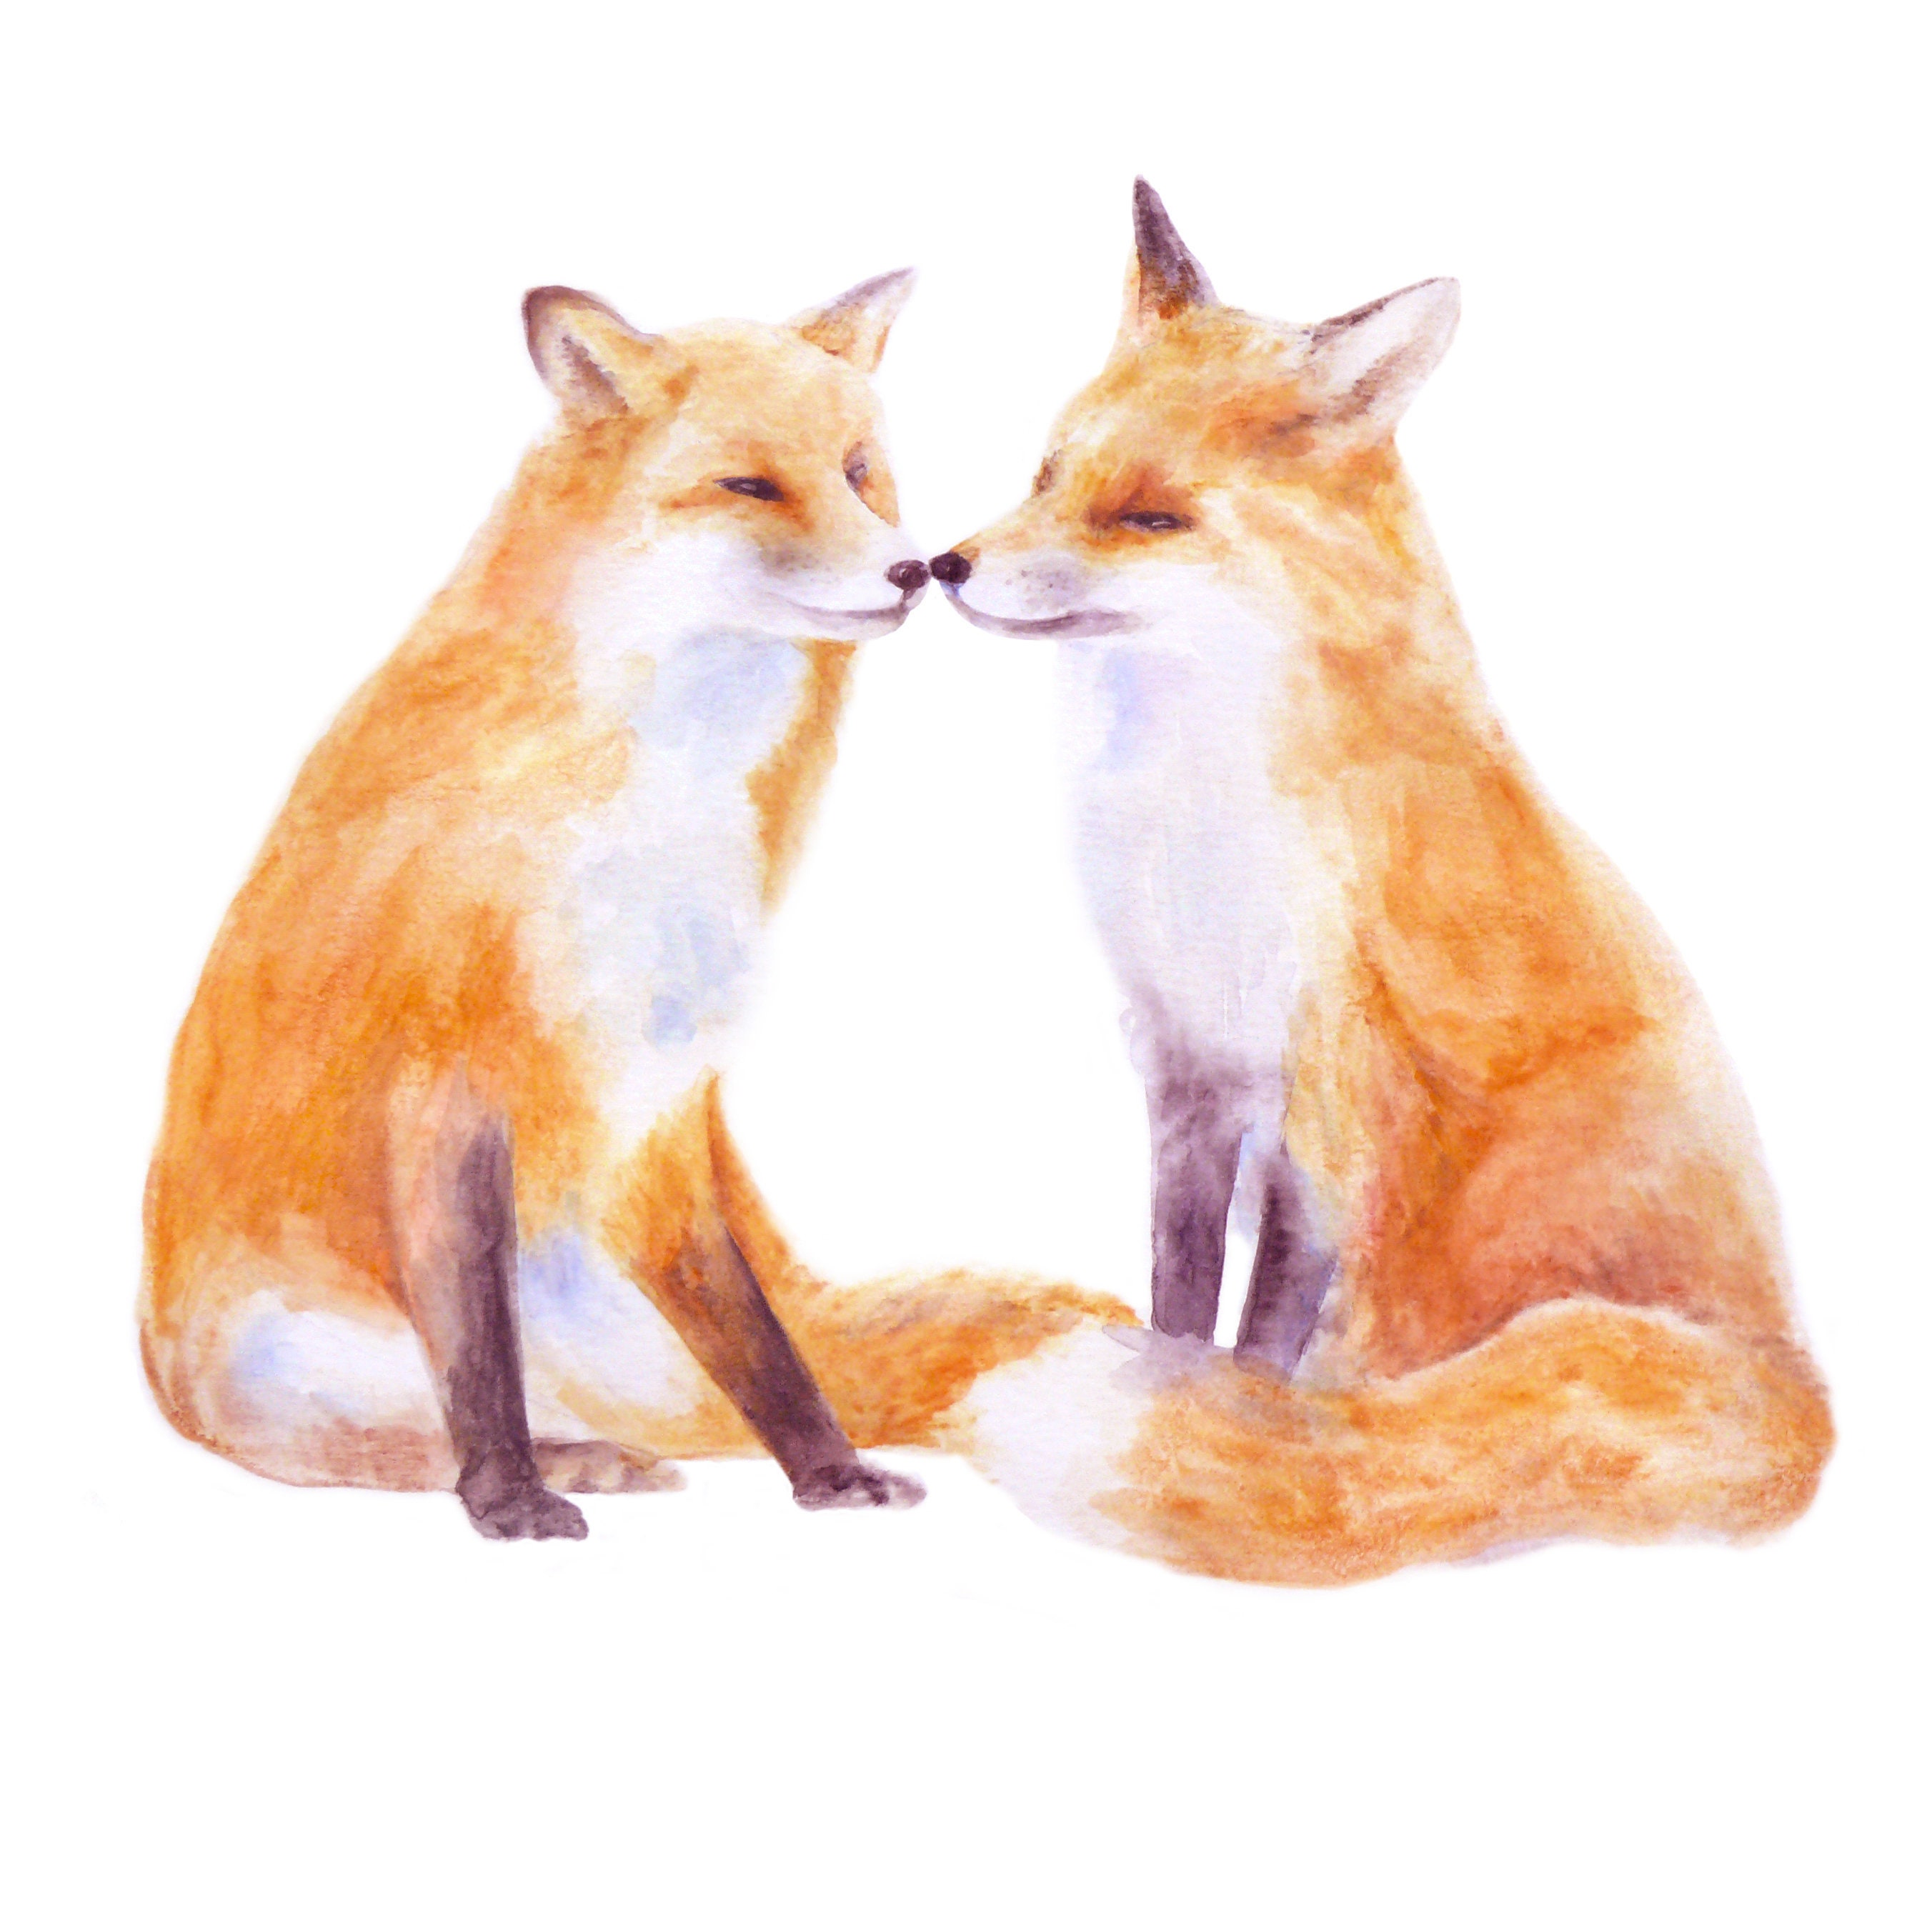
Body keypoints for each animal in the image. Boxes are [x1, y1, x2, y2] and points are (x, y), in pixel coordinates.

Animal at [141, 271, 1125, 1540]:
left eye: (859, 473)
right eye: (750, 486)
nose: (917, 570)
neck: (646, 813)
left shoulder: (661, 1101)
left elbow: (755, 1335)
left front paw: (829, 1474)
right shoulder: (444, 1085)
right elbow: (478, 1353)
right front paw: (509, 1503)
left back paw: (607, 1453)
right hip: (288, 1358)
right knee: (385, 1442)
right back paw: (558, 1464)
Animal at [924, 181, 1833, 1582]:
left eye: (1149, 518)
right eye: (1046, 473)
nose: (944, 566)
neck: (1191, 824)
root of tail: (1799, 1383)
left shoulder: (1330, 1091)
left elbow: (1261, 1329)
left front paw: (1223, 1425)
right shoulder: (1185, 1067)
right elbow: (1180, 1286)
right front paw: (1175, 1389)